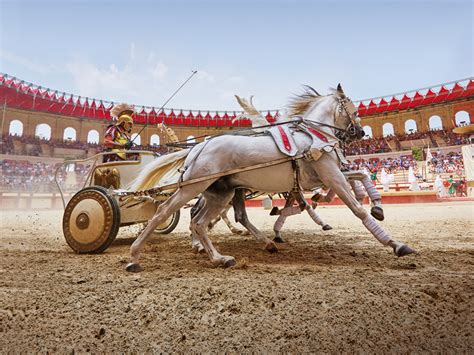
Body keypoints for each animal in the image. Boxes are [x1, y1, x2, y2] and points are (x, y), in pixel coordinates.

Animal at [126, 85, 414, 272]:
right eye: (353, 108)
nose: (360, 132)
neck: (314, 136)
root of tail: (199, 147)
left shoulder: (319, 179)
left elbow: (359, 176)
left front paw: (377, 205)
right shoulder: (330, 176)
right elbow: (356, 208)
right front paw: (395, 244)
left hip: (221, 193)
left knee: (201, 221)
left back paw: (221, 257)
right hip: (194, 188)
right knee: (165, 212)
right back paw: (134, 256)